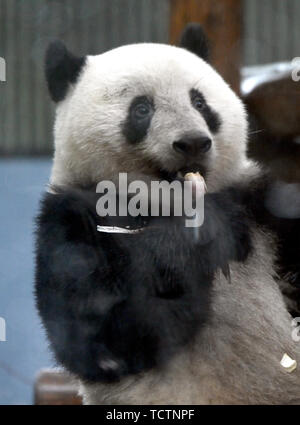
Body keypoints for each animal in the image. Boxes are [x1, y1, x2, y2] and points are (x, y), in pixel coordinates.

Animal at [34, 24, 300, 404]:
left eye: (199, 102)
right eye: (142, 109)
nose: (193, 142)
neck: (164, 203)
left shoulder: (258, 200)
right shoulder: (70, 220)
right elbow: (102, 336)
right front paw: (200, 236)